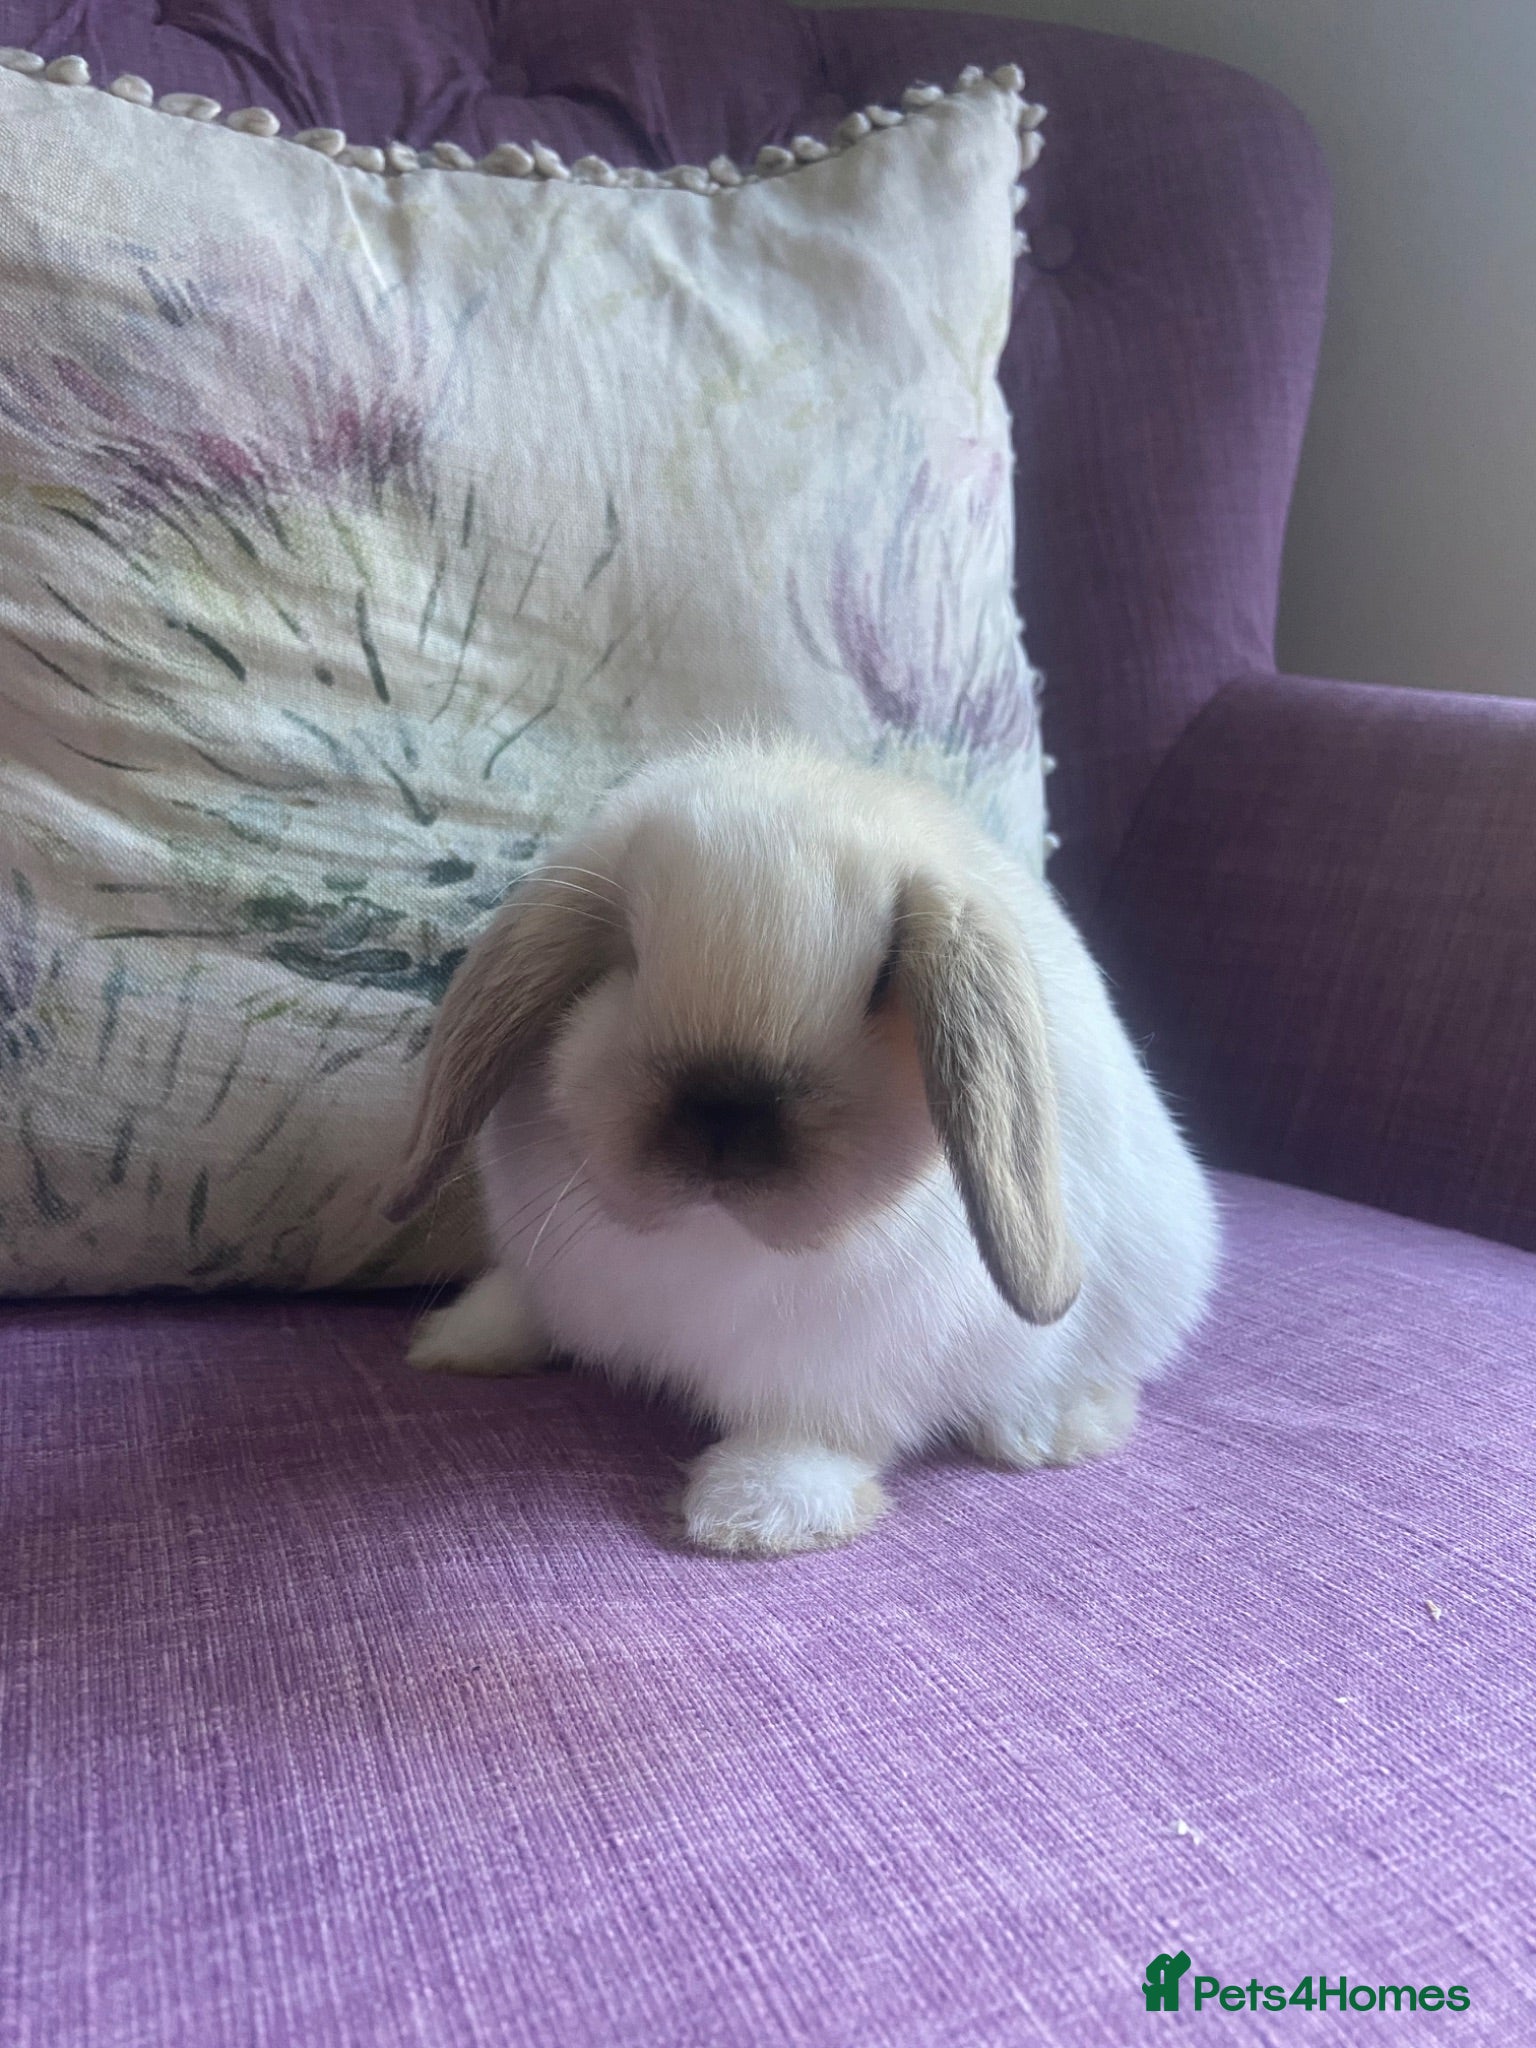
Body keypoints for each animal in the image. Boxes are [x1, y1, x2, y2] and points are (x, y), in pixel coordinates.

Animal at [383, 736, 1220, 1555]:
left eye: (883, 979)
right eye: (624, 956)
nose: (723, 1121)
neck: (709, 1238)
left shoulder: (841, 1376)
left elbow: (812, 1433)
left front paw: (751, 1515)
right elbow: (523, 1305)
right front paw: (453, 1341)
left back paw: (1048, 1430)